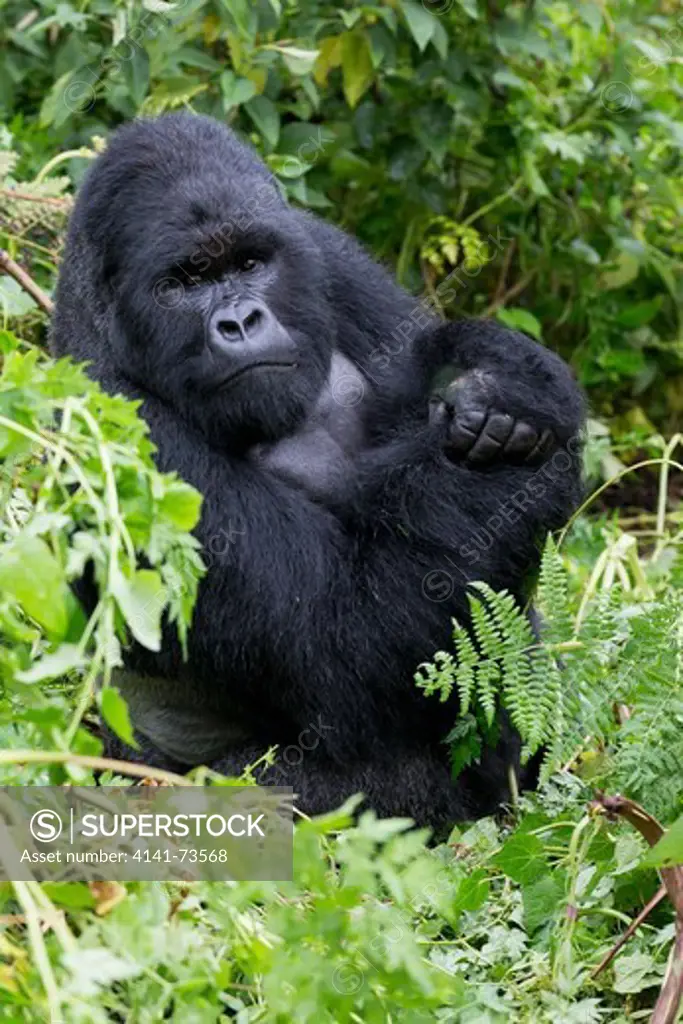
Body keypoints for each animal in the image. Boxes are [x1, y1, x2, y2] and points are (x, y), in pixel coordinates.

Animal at [50, 116, 585, 827]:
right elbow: (349, 638)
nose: (239, 321)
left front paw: (510, 382)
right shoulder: (119, 427)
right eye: (184, 281)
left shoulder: (326, 253)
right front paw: (515, 446)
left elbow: (419, 357)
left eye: (251, 263)